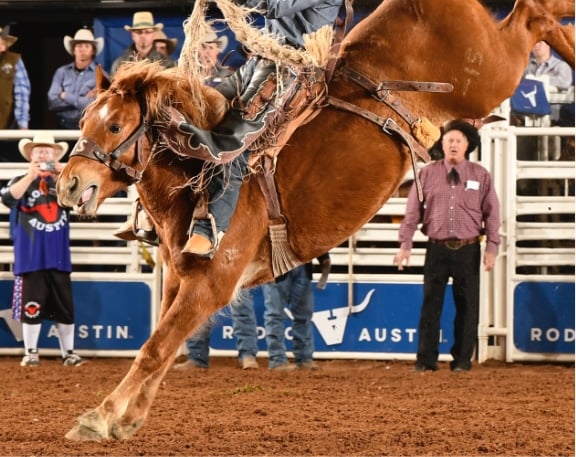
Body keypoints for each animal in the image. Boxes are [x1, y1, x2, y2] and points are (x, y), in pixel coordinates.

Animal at [56, 0, 572, 440]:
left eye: (115, 126)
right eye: (83, 123)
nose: (67, 186)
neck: (196, 170)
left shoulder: (211, 284)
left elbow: (155, 348)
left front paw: (99, 418)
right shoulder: (177, 280)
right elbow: (161, 344)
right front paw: (128, 418)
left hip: (490, 73)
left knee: (533, 15)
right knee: (537, 14)